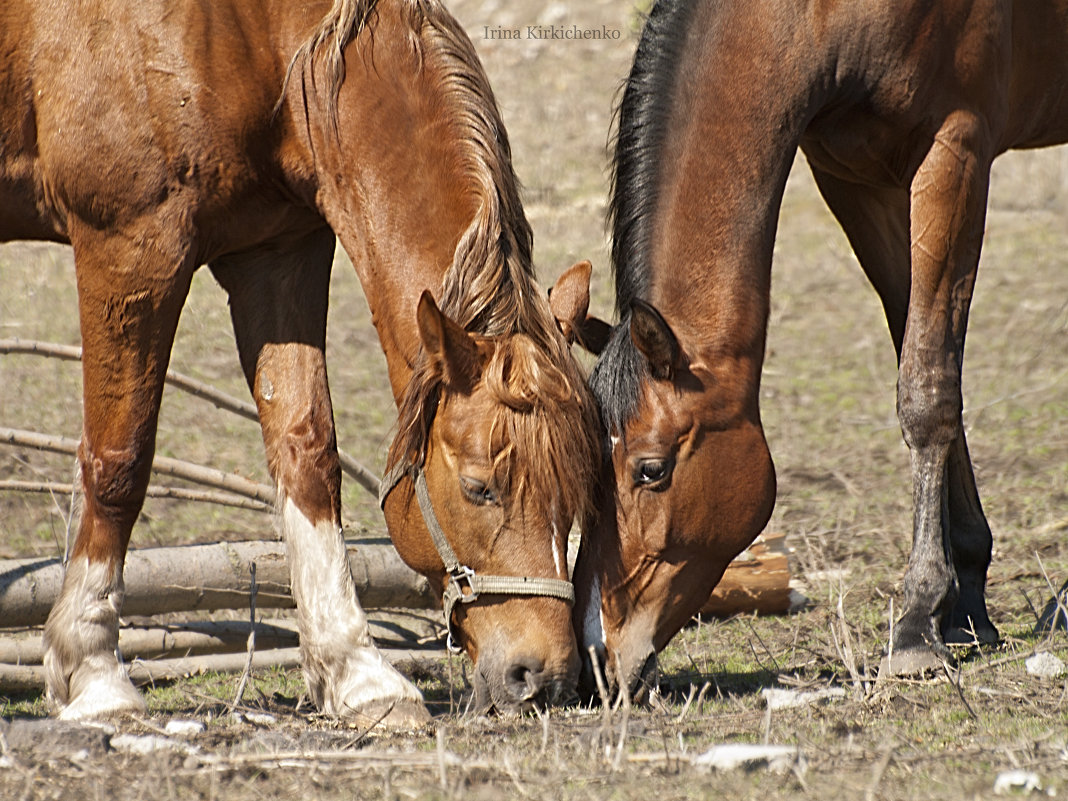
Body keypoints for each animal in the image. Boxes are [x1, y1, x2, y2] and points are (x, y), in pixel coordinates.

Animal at [0, 0, 602, 726]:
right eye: (480, 486)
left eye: (581, 487)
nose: (544, 677)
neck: (244, 35)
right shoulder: (131, 247)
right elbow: (121, 460)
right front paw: (92, 671)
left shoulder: (278, 253)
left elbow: (308, 454)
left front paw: (357, 672)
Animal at [576, 0, 1068, 700]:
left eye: (651, 470)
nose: (594, 657)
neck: (817, 19)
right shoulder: (852, 177)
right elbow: (920, 347)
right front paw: (965, 609)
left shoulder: (956, 149)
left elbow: (927, 388)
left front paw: (917, 622)